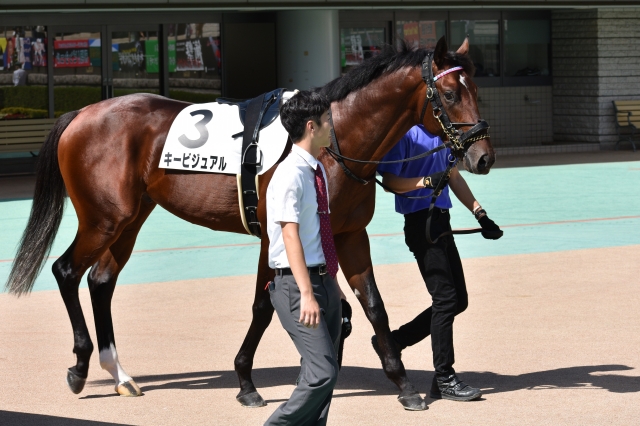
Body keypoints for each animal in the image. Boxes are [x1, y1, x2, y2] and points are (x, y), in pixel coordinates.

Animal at [5, 37, 494, 411]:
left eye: (476, 89)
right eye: (451, 95)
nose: (483, 156)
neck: (333, 141)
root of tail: (82, 114)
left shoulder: (350, 236)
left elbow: (373, 305)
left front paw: (404, 384)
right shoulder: (276, 236)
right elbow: (264, 306)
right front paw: (246, 382)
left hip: (130, 218)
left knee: (101, 280)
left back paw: (120, 373)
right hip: (104, 219)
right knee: (67, 271)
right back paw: (80, 367)